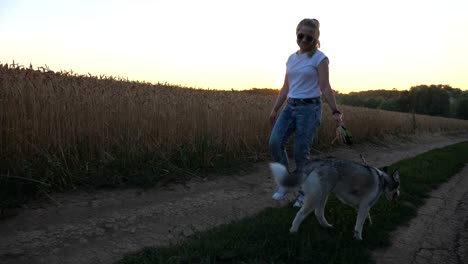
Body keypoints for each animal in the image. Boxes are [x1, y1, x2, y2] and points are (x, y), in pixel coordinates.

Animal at [268, 158, 400, 240]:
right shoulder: (364, 206)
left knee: (318, 213)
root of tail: (315, 162)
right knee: (300, 214)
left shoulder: (361, 207)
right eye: (398, 187)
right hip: (315, 197)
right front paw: (358, 238)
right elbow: (359, 226)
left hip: (323, 195)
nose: (399, 195)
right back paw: (293, 232)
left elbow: (361, 220)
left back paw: (326, 226)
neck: (383, 180)